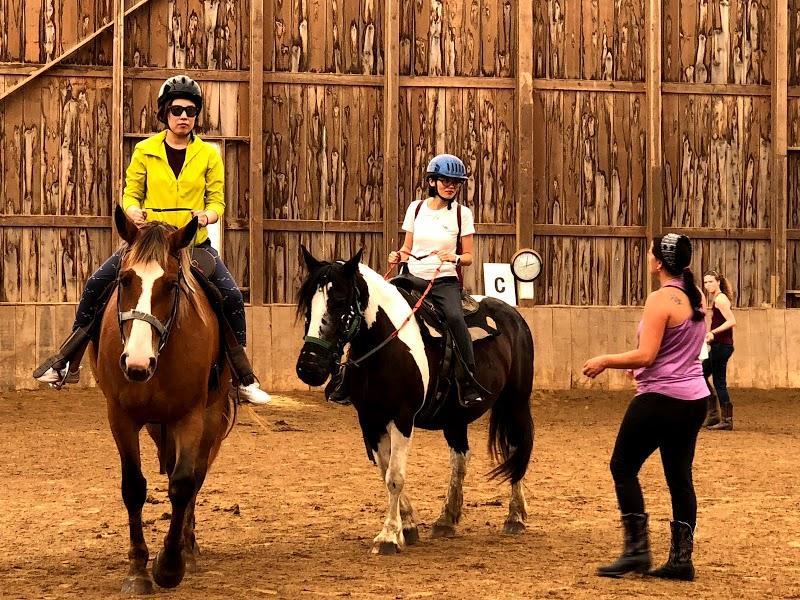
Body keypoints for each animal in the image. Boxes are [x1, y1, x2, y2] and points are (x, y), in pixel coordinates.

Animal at [88, 205, 234, 593]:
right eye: (125, 280)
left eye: (170, 284)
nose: (137, 363)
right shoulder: (120, 417)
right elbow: (133, 487)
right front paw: (138, 570)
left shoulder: (190, 416)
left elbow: (183, 484)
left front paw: (169, 566)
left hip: (208, 418)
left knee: (195, 476)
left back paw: (189, 548)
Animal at [295, 246, 534, 554]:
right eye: (307, 305)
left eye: (339, 303)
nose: (309, 367)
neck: (384, 345)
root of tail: (513, 315)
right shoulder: (370, 420)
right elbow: (385, 472)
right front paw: (407, 526)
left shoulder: (402, 417)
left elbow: (395, 476)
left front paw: (388, 536)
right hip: (455, 418)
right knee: (460, 460)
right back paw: (446, 520)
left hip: (515, 402)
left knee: (516, 448)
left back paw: (515, 516)